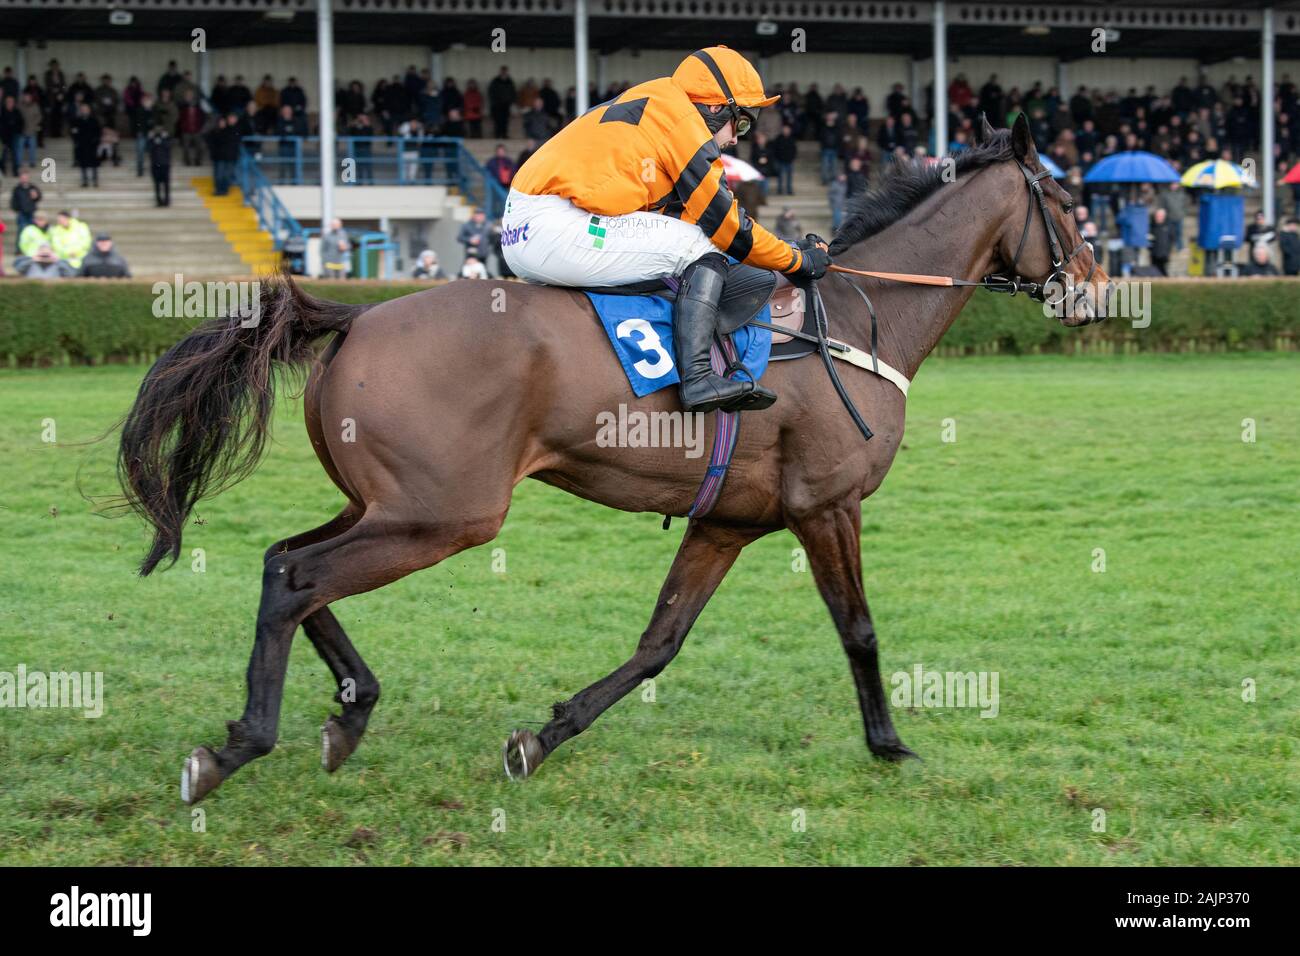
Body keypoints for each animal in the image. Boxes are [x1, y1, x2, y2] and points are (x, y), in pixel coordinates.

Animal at [119, 111, 1107, 806]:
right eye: (1068, 207)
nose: (1098, 289)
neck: (857, 322)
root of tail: (358, 317)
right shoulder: (827, 504)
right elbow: (858, 629)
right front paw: (890, 742)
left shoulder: (729, 521)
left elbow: (658, 643)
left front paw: (544, 735)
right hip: (445, 515)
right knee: (300, 578)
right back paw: (238, 746)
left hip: (389, 505)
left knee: (285, 563)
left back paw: (349, 710)